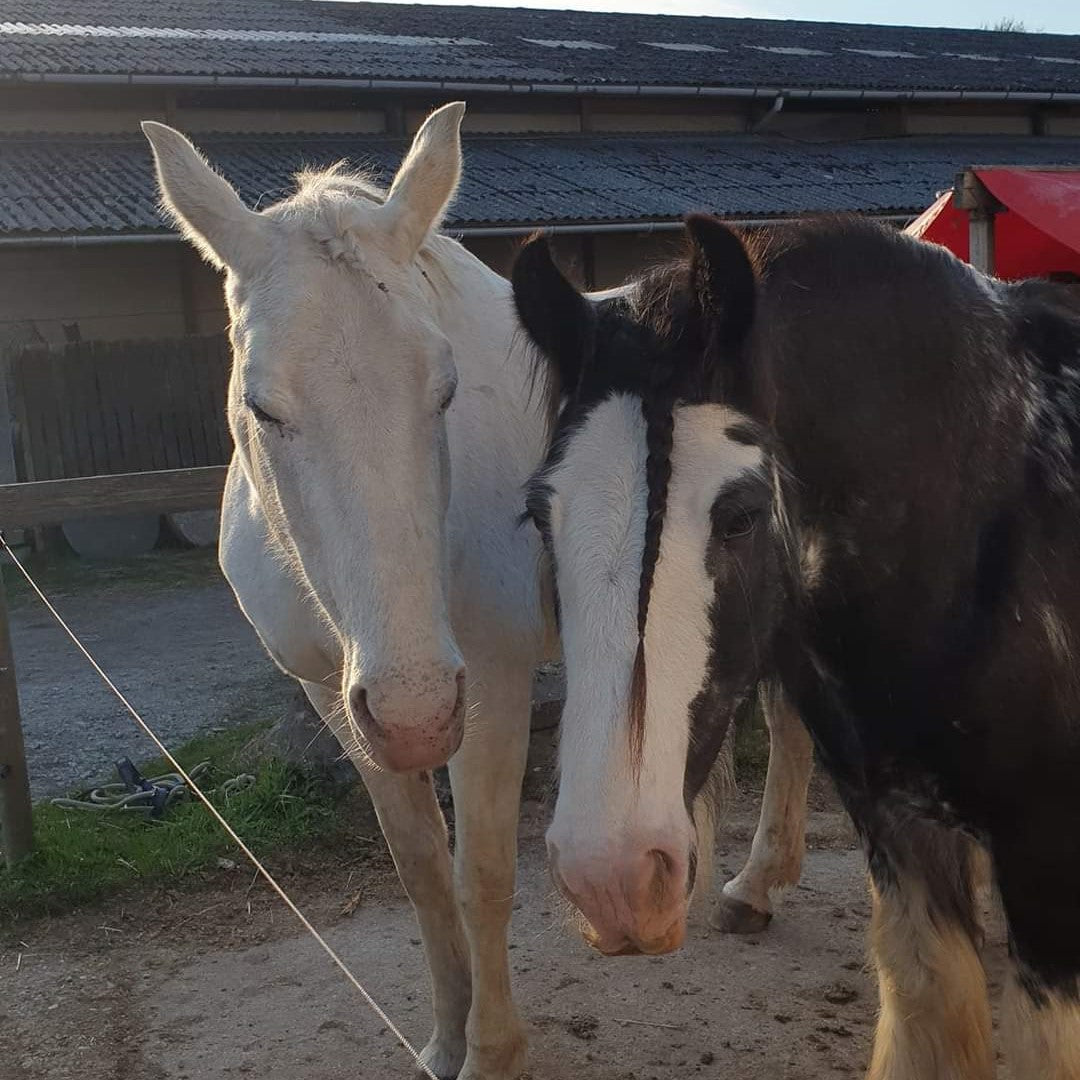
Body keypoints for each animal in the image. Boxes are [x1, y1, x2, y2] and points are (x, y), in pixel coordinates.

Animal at [139, 103, 807, 1080]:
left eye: (446, 388)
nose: (417, 711)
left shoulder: (489, 682)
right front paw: (446, 1035)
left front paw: (492, 1051)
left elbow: (481, 871)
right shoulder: (337, 696)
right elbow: (420, 867)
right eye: (262, 405)